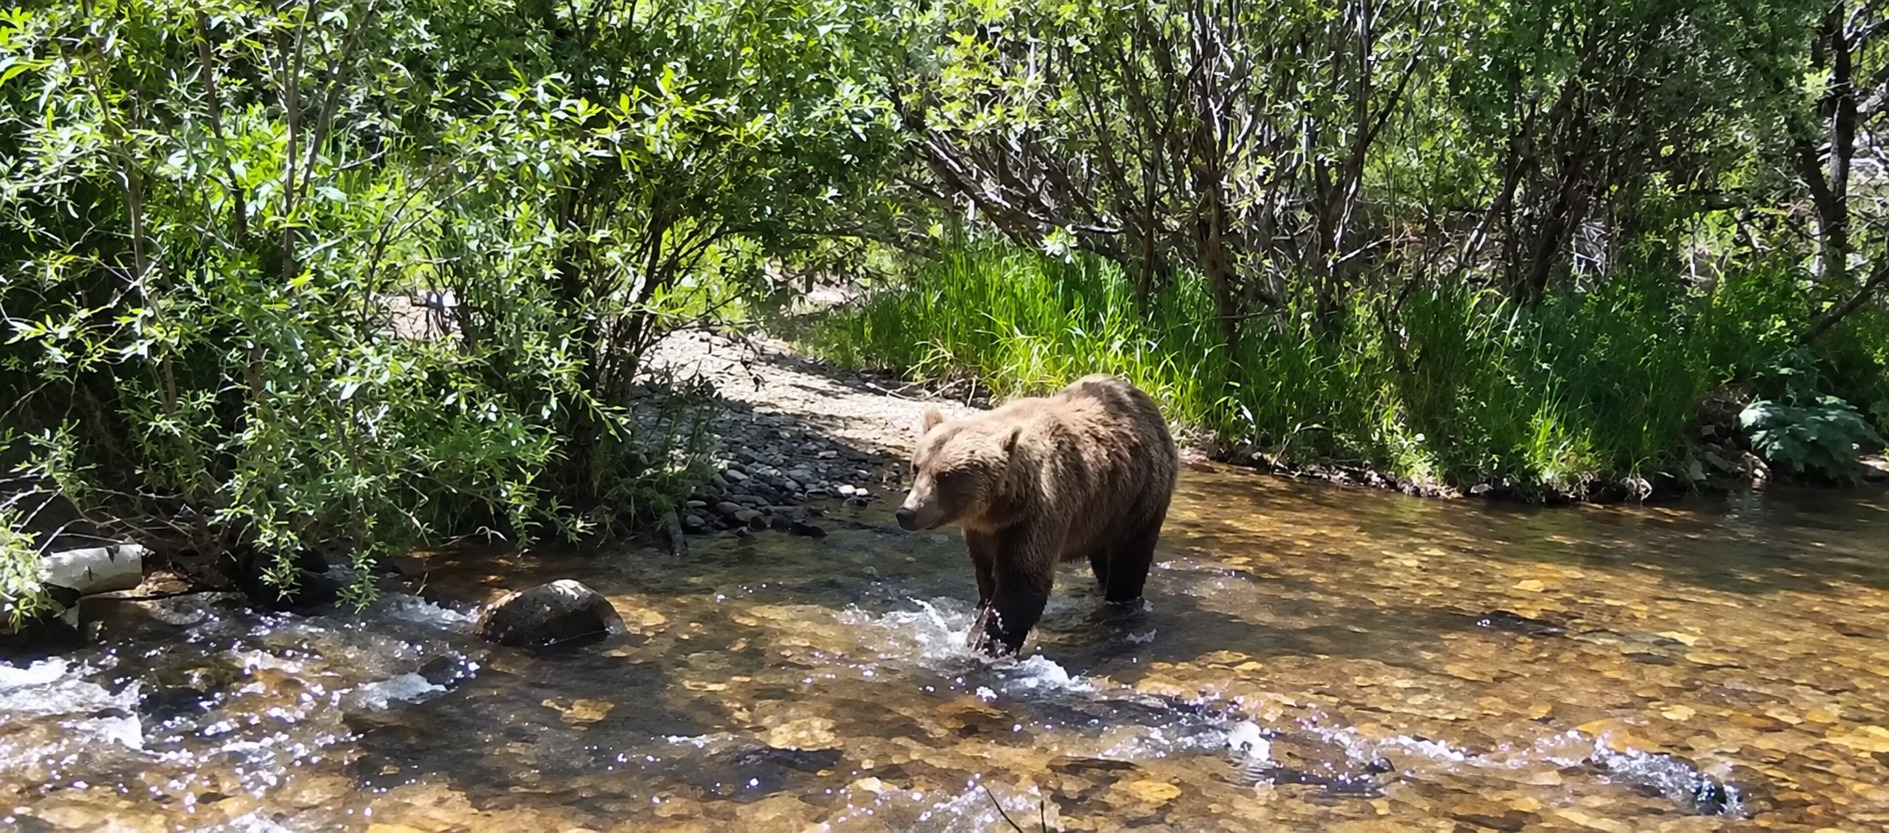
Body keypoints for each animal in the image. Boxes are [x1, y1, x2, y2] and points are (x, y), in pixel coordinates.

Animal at [894, 374, 1180, 657]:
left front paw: (985, 642)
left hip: (1140, 498)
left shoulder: (1036, 517)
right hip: (1103, 513)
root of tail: (1142, 396)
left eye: (945, 475)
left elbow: (1022, 584)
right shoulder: (982, 533)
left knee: (1129, 560)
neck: (997, 510)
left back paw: (1122, 602)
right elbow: (987, 576)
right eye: (917, 467)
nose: (907, 512)